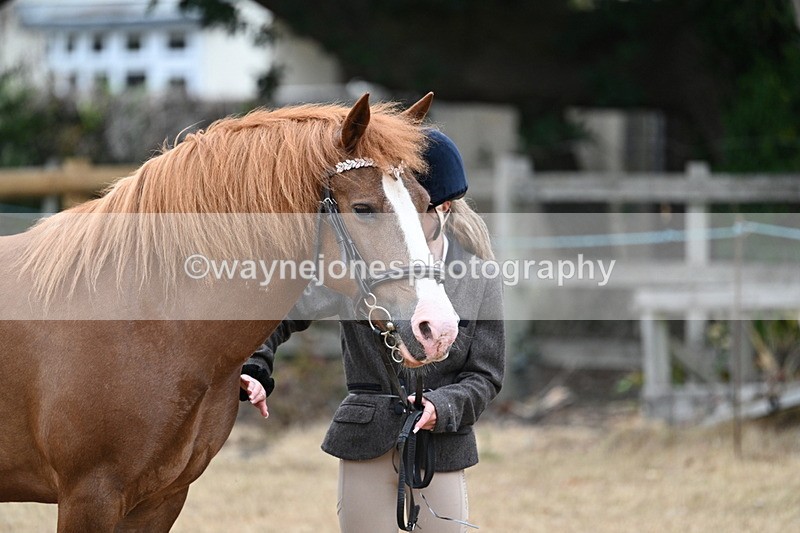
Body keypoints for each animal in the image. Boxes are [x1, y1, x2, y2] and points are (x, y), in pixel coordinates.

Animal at [0, 93, 460, 531]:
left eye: (425, 204)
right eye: (363, 208)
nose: (438, 327)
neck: (147, 314)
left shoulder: (160, 500)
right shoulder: (90, 496)